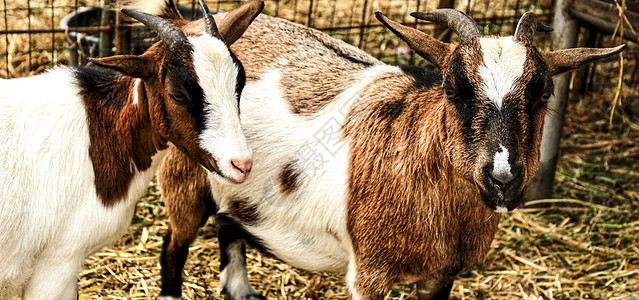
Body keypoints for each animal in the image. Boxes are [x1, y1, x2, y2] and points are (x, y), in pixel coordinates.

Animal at [155, 7, 624, 300]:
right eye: (453, 88)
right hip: (184, 179)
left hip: (236, 188)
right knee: (173, 244)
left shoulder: (441, 276)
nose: (503, 176)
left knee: (229, 226)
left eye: (544, 94)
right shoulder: (369, 273)